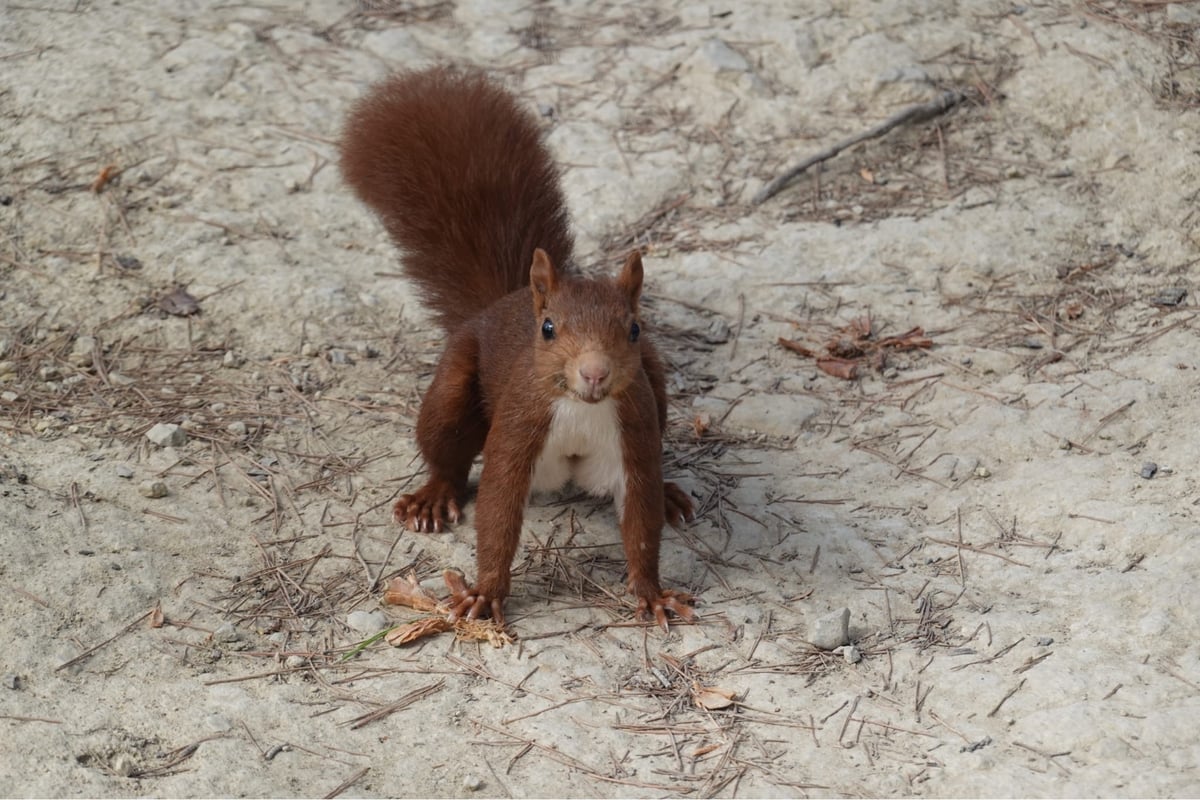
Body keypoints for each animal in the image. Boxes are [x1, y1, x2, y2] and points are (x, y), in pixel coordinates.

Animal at [339, 66, 695, 630]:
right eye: (548, 328)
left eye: (635, 329)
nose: (594, 372)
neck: (580, 408)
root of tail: (503, 300)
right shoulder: (518, 427)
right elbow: (498, 511)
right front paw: (484, 592)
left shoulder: (633, 432)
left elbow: (641, 523)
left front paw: (652, 592)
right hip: (453, 385)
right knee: (445, 448)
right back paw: (433, 498)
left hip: (656, 387)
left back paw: (670, 493)